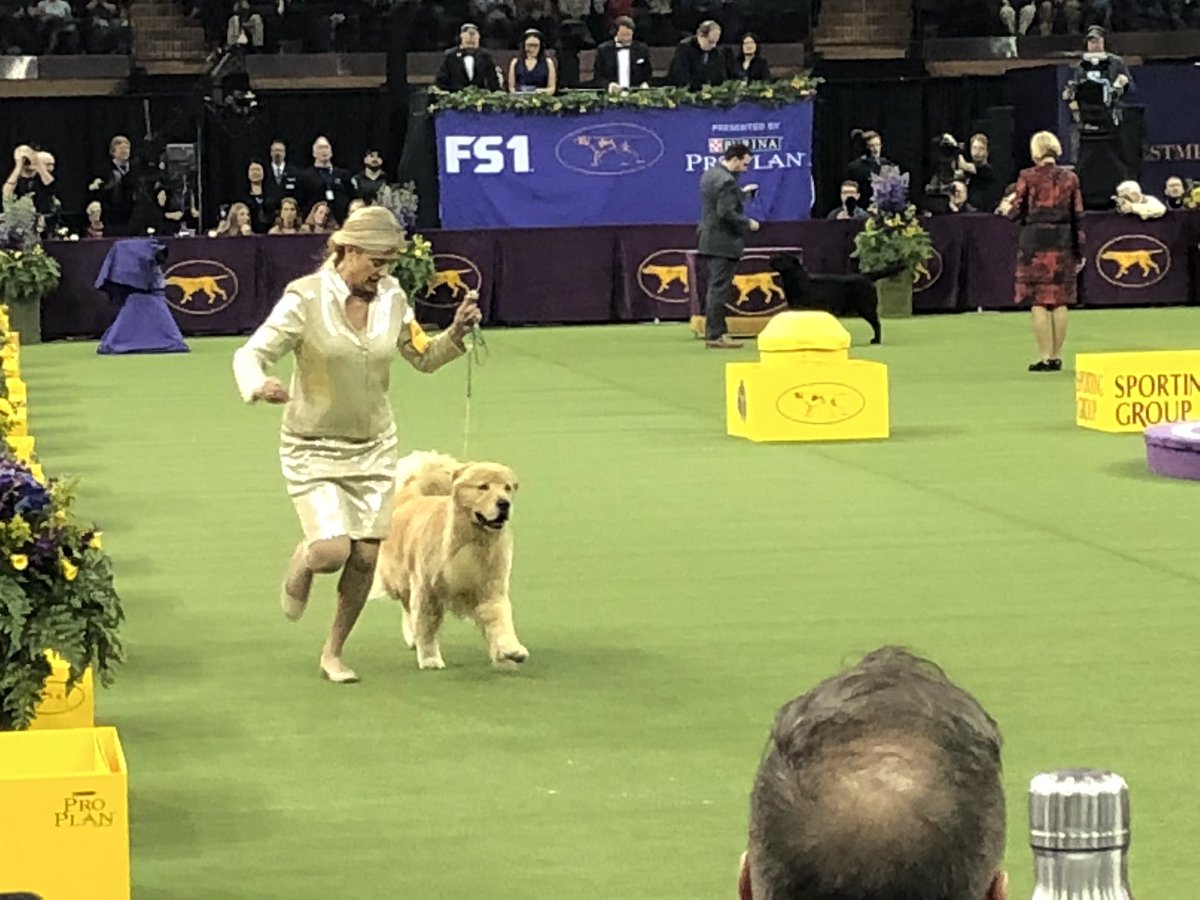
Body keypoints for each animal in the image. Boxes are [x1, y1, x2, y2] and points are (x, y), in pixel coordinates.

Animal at [768, 254, 902, 345]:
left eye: (782, 258)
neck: (797, 280)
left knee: (877, 324)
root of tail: (866, 276)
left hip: (866, 308)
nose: (771, 258)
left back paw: (876, 340)